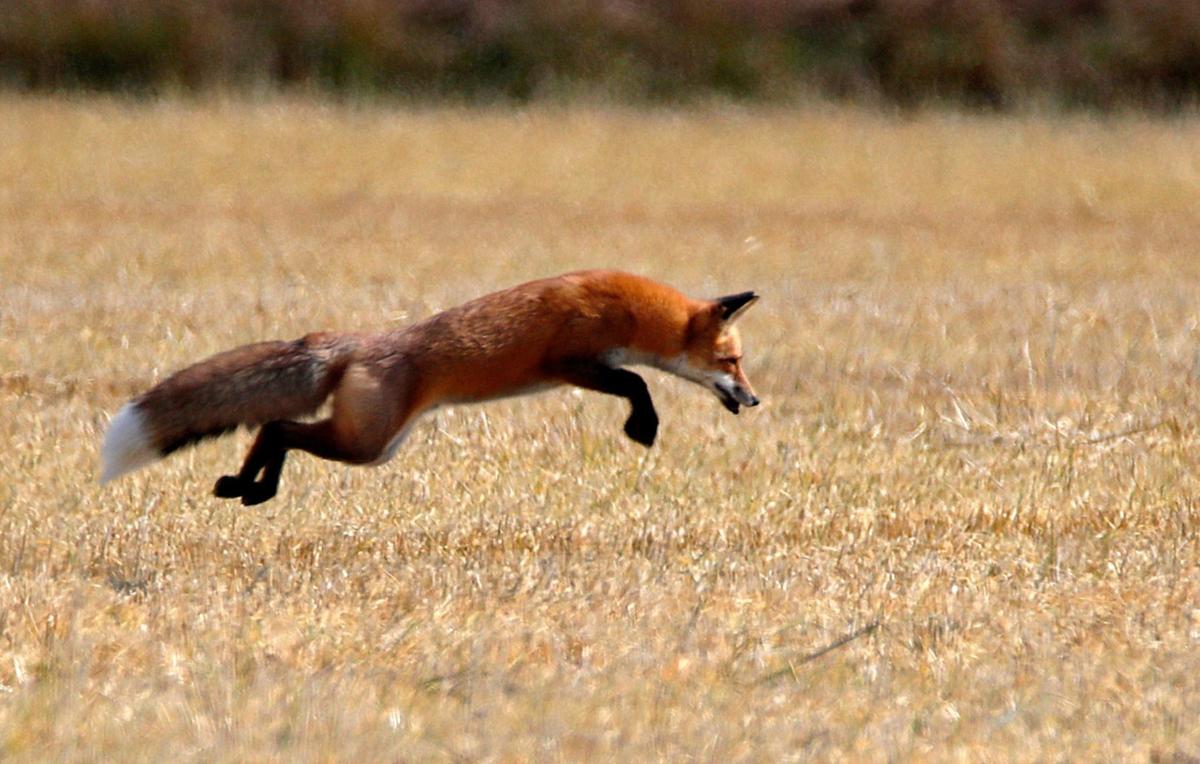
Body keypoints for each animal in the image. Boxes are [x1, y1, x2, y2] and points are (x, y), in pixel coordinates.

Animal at [100, 270, 760, 505]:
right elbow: (637, 381)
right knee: (277, 426)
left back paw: (250, 489)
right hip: (367, 444)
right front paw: (642, 426)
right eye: (733, 361)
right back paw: (249, 487)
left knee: (276, 428)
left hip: (374, 443)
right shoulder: (571, 361)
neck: (626, 308)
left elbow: (636, 378)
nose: (754, 400)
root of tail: (354, 341)